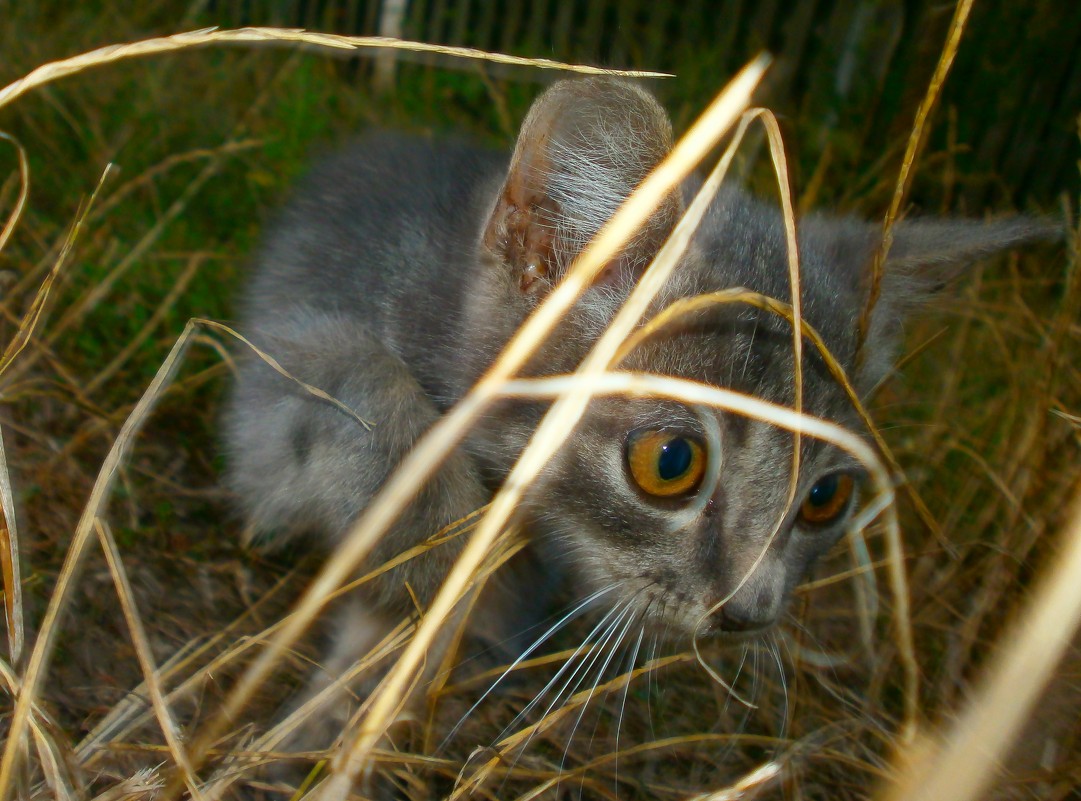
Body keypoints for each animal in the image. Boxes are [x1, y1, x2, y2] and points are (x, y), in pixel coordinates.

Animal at [223, 81, 1042, 761]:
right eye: (670, 461)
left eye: (824, 498)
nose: (749, 611)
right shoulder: (279, 361)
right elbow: (351, 378)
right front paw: (431, 521)